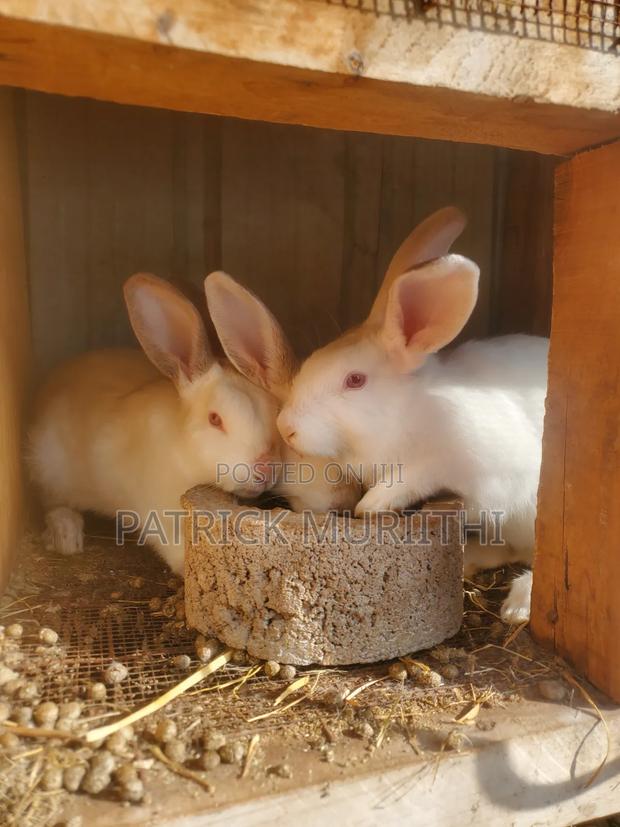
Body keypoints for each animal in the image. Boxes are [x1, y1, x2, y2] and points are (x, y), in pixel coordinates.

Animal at [27, 273, 281, 575]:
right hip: (48, 470)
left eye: (274, 412)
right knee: (52, 505)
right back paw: (67, 535)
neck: (184, 455)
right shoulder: (154, 508)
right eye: (215, 419)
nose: (266, 467)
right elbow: (172, 546)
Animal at [232, 207, 548, 624]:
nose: (287, 428)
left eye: (355, 380)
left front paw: (373, 504)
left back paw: (517, 607)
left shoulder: (478, 467)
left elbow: (417, 474)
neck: (406, 413)